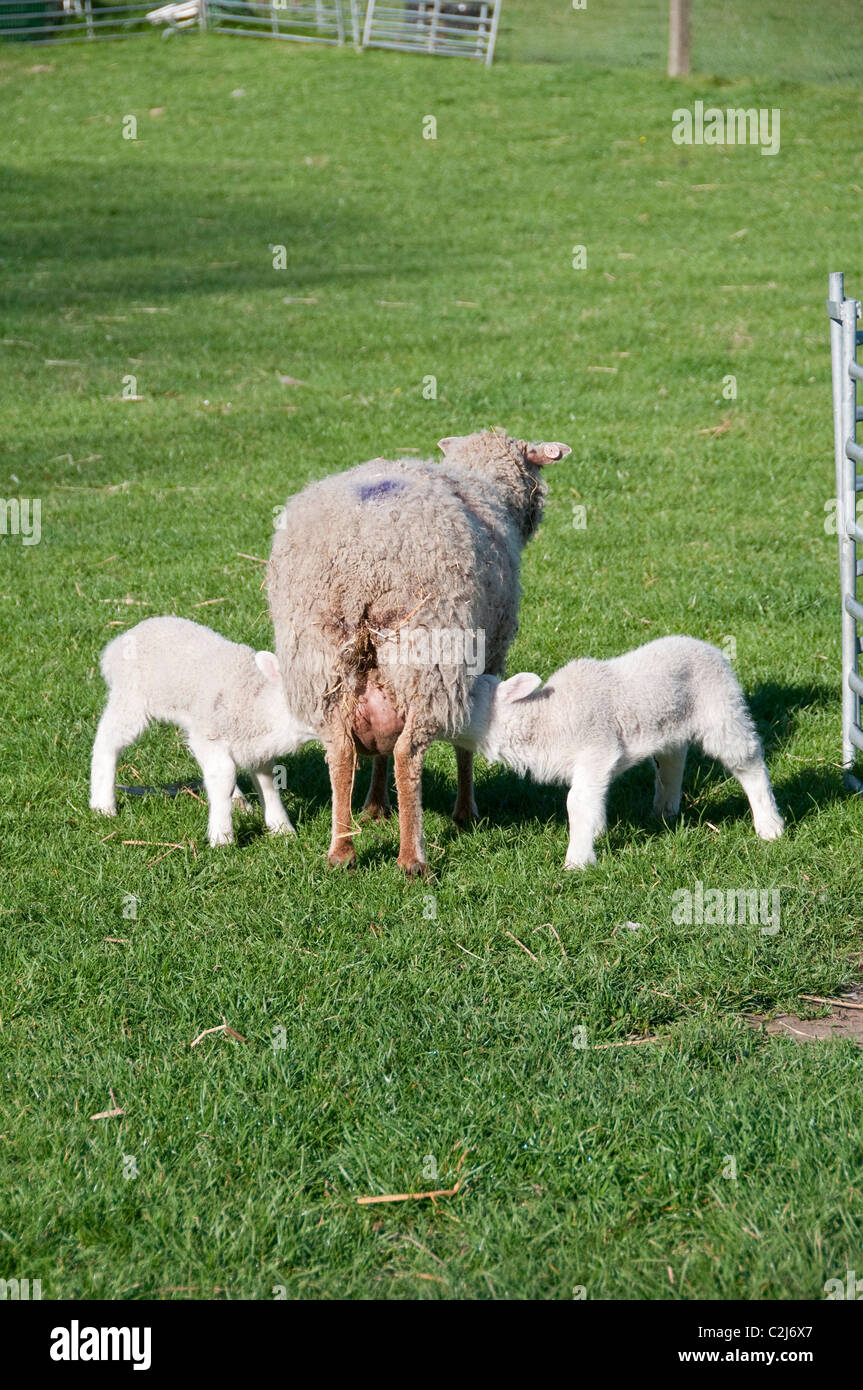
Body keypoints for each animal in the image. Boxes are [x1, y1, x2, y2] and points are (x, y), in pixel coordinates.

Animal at [89, 617, 314, 847]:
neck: (257, 701)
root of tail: (116, 644)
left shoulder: (255, 747)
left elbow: (268, 783)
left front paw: (282, 829)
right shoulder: (210, 733)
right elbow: (224, 774)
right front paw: (222, 837)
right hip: (131, 698)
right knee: (107, 741)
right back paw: (103, 805)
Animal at [268, 429, 571, 876]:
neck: (483, 483)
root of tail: (360, 565)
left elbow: (379, 741)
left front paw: (376, 806)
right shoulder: (488, 656)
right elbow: (465, 743)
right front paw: (466, 813)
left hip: (321, 658)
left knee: (341, 750)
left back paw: (342, 851)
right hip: (429, 654)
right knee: (407, 752)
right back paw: (413, 858)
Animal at [456, 635, 784, 869]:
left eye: (468, 693)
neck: (547, 716)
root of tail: (712, 649)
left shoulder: (596, 748)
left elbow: (577, 802)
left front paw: (577, 861)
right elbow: (591, 799)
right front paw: (596, 832)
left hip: (721, 709)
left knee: (748, 761)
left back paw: (770, 825)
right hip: (670, 720)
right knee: (672, 760)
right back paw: (664, 811)